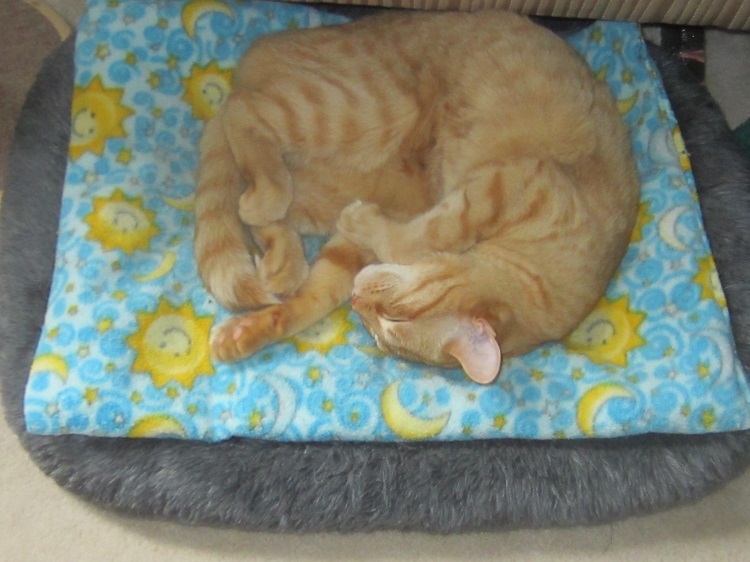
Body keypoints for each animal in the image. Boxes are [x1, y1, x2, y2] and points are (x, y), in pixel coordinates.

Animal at [194, 10, 640, 382]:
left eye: (384, 330)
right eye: (395, 321)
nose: (356, 300)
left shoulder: (359, 248)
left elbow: (316, 298)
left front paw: (249, 331)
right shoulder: (509, 184)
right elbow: (425, 235)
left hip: (325, 189)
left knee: (262, 208)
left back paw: (281, 262)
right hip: (359, 109)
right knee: (243, 112)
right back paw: (266, 197)